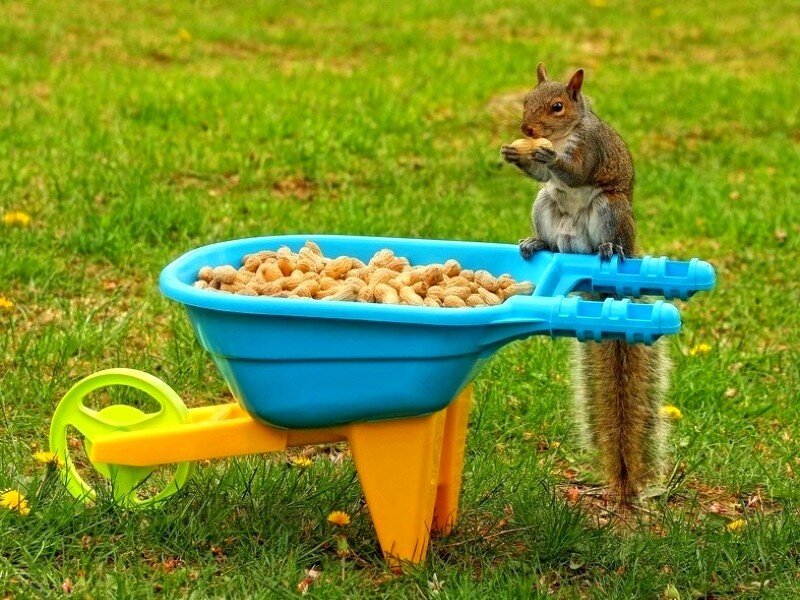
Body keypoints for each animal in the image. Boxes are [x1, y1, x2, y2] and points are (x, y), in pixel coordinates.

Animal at [500, 63, 670, 503]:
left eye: (558, 106)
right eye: (527, 98)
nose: (526, 129)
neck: (564, 135)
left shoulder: (589, 148)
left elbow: (574, 171)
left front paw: (542, 154)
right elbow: (541, 174)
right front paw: (515, 154)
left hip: (609, 208)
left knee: (606, 232)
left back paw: (609, 247)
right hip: (545, 205)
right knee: (548, 216)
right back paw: (537, 242)